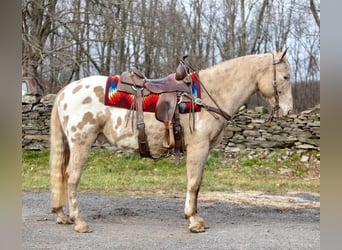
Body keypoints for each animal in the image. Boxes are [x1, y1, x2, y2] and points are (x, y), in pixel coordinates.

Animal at [49, 49, 292, 233]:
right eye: (286, 77)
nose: (288, 111)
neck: (207, 95)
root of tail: (65, 91)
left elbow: (197, 183)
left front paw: (195, 217)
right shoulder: (198, 147)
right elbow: (193, 183)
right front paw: (193, 221)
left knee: (62, 174)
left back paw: (62, 215)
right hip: (81, 142)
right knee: (72, 177)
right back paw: (79, 222)